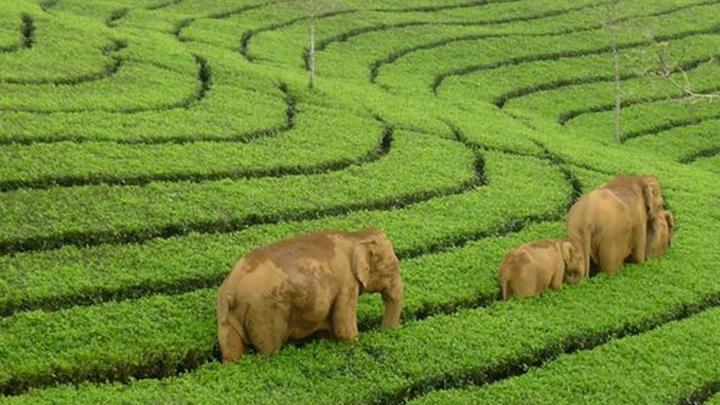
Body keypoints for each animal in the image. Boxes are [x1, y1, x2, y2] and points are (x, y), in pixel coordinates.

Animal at [216, 227, 403, 362]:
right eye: (393, 266)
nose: (384, 333)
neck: (356, 236)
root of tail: (231, 288)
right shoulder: (346, 283)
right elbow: (344, 328)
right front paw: (353, 343)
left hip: (227, 317)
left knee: (231, 351)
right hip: (264, 312)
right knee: (269, 349)